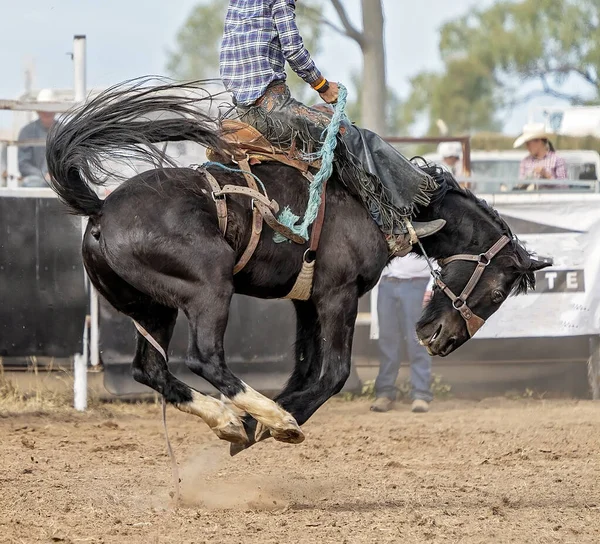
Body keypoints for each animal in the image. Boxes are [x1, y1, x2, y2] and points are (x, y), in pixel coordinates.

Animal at [44, 81, 552, 454]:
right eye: (499, 290)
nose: (439, 340)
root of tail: (101, 208)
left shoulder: (308, 300)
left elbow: (306, 369)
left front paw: (259, 423)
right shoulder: (339, 294)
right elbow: (333, 373)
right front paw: (275, 422)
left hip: (152, 306)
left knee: (149, 369)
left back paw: (231, 421)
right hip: (208, 287)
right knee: (204, 357)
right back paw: (266, 417)